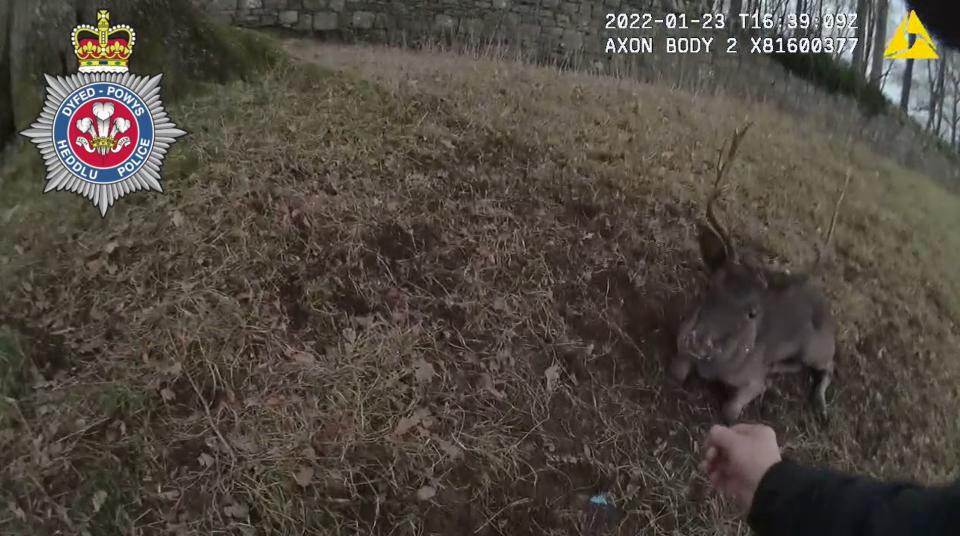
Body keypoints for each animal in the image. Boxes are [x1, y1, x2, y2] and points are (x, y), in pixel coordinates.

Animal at [672, 124, 852, 422]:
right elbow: (677, 372)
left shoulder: (751, 380)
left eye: (752, 313)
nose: (698, 342)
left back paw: (821, 406)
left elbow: (732, 410)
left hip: (818, 347)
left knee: (830, 366)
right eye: (711, 285)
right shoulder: (681, 337)